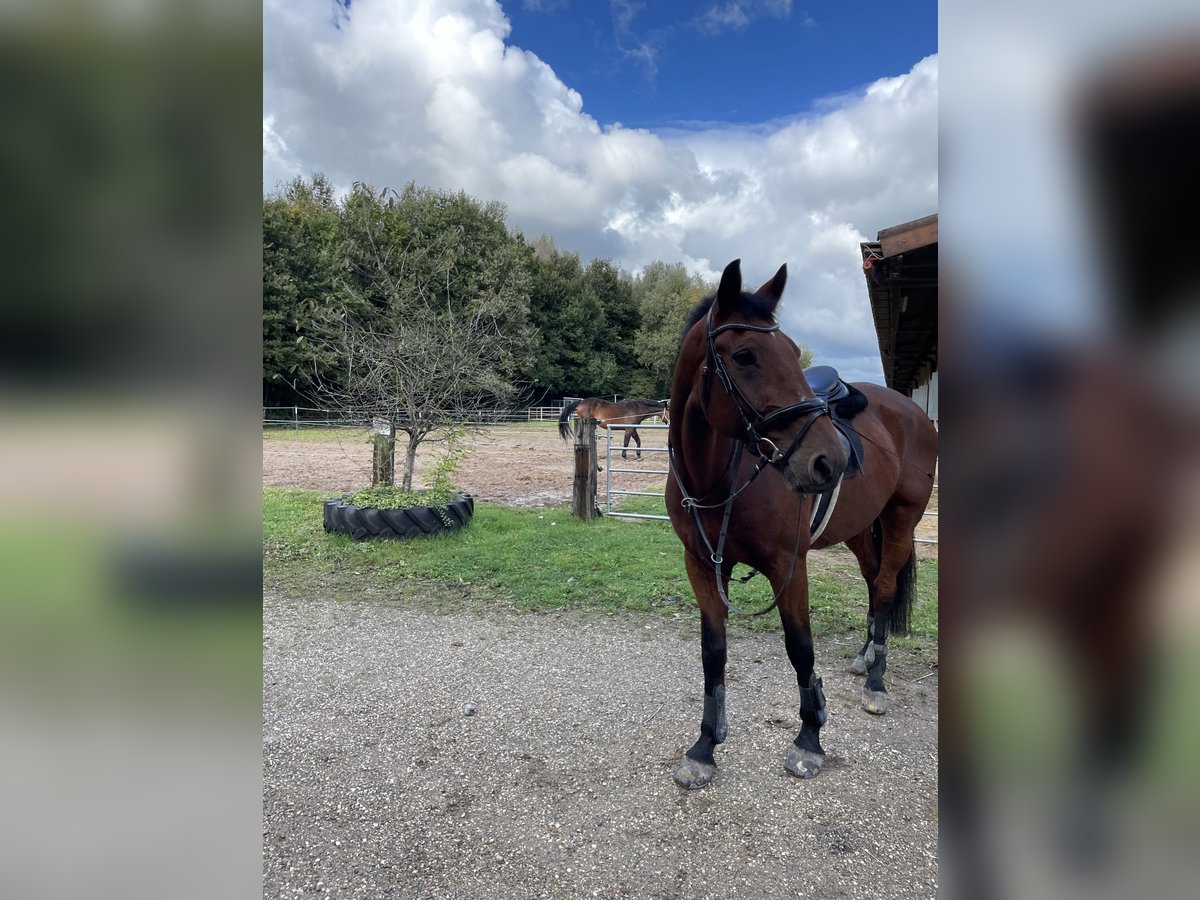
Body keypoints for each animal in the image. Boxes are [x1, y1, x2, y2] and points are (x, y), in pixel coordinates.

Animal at [667, 259, 936, 787]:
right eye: (745, 355)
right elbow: (713, 653)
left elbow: (801, 649)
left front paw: (809, 738)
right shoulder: (702, 565)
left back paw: (877, 681)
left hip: (901, 520)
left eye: (793, 351)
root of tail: (914, 412)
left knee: (887, 585)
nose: (831, 460)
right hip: (860, 529)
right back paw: (865, 657)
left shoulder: (788, 567)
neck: (717, 476)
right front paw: (705, 747)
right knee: (873, 581)